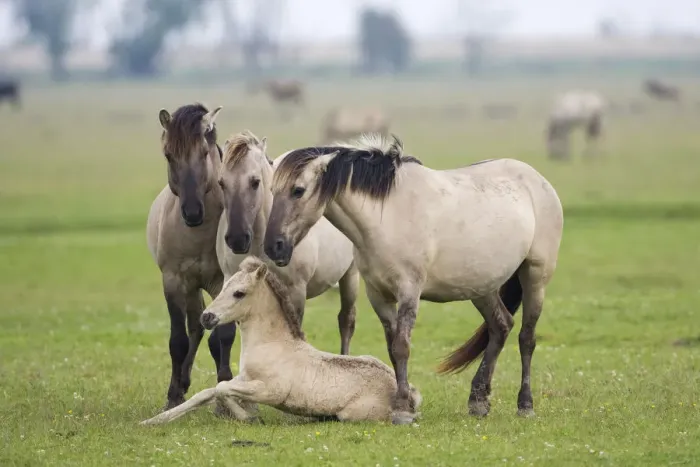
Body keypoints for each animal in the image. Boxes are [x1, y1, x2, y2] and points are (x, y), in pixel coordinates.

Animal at [140, 257, 422, 426]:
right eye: (224, 287)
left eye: (239, 293)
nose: (207, 317)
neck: (271, 346)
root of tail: (408, 395)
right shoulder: (243, 379)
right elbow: (209, 391)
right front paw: (153, 421)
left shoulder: (269, 390)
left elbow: (221, 389)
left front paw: (249, 418)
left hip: (351, 415)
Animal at [146, 103, 236, 413]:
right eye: (168, 155)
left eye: (204, 153)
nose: (193, 212)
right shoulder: (174, 281)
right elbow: (178, 340)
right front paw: (173, 396)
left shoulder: (223, 281)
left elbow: (222, 336)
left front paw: (224, 395)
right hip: (190, 286)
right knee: (195, 327)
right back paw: (182, 384)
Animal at [216, 130, 359, 355]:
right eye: (221, 183)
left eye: (255, 182)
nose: (237, 239)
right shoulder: (231, 280)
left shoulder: (295, 291)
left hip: (351, 276)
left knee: (346, 321)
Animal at [263, 135, 563, 424]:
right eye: (271, 191)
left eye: (298, 190)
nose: (273, 247)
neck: (386, 217)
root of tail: (538, 180)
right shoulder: (378, 295)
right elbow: (392, 347)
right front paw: (404, 403)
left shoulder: (409, 291)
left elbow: (402, 346)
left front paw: (402, 410)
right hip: (481, 287)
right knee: (501, 326)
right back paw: (478, 401)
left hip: (535, 277)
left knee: (526, 338)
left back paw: (525, 405)